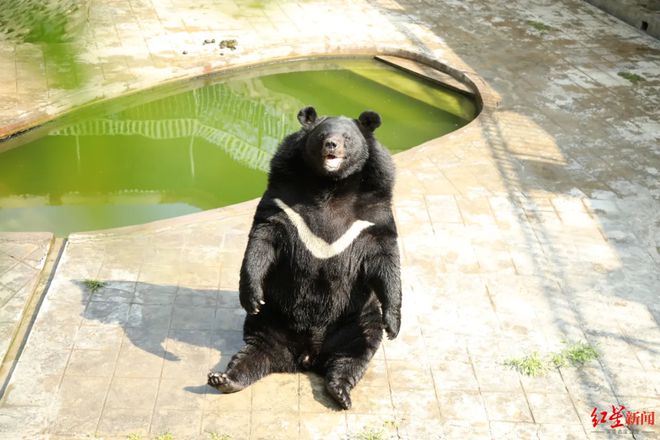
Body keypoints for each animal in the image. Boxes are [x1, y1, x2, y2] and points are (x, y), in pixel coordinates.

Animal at [209, 105, 400, 410]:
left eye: (347, 138)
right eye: (322, 135)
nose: (331, 145)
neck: (330, 185)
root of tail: (308, 357)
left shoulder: (372, 212)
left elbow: (385, 257)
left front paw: (393, 324)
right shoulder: (283, 200)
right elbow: (262, 238)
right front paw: (251, 296)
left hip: (357, 317)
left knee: (356, 351)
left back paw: (340, 392)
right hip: (272, 316)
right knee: (255, 349)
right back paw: (224, 379)